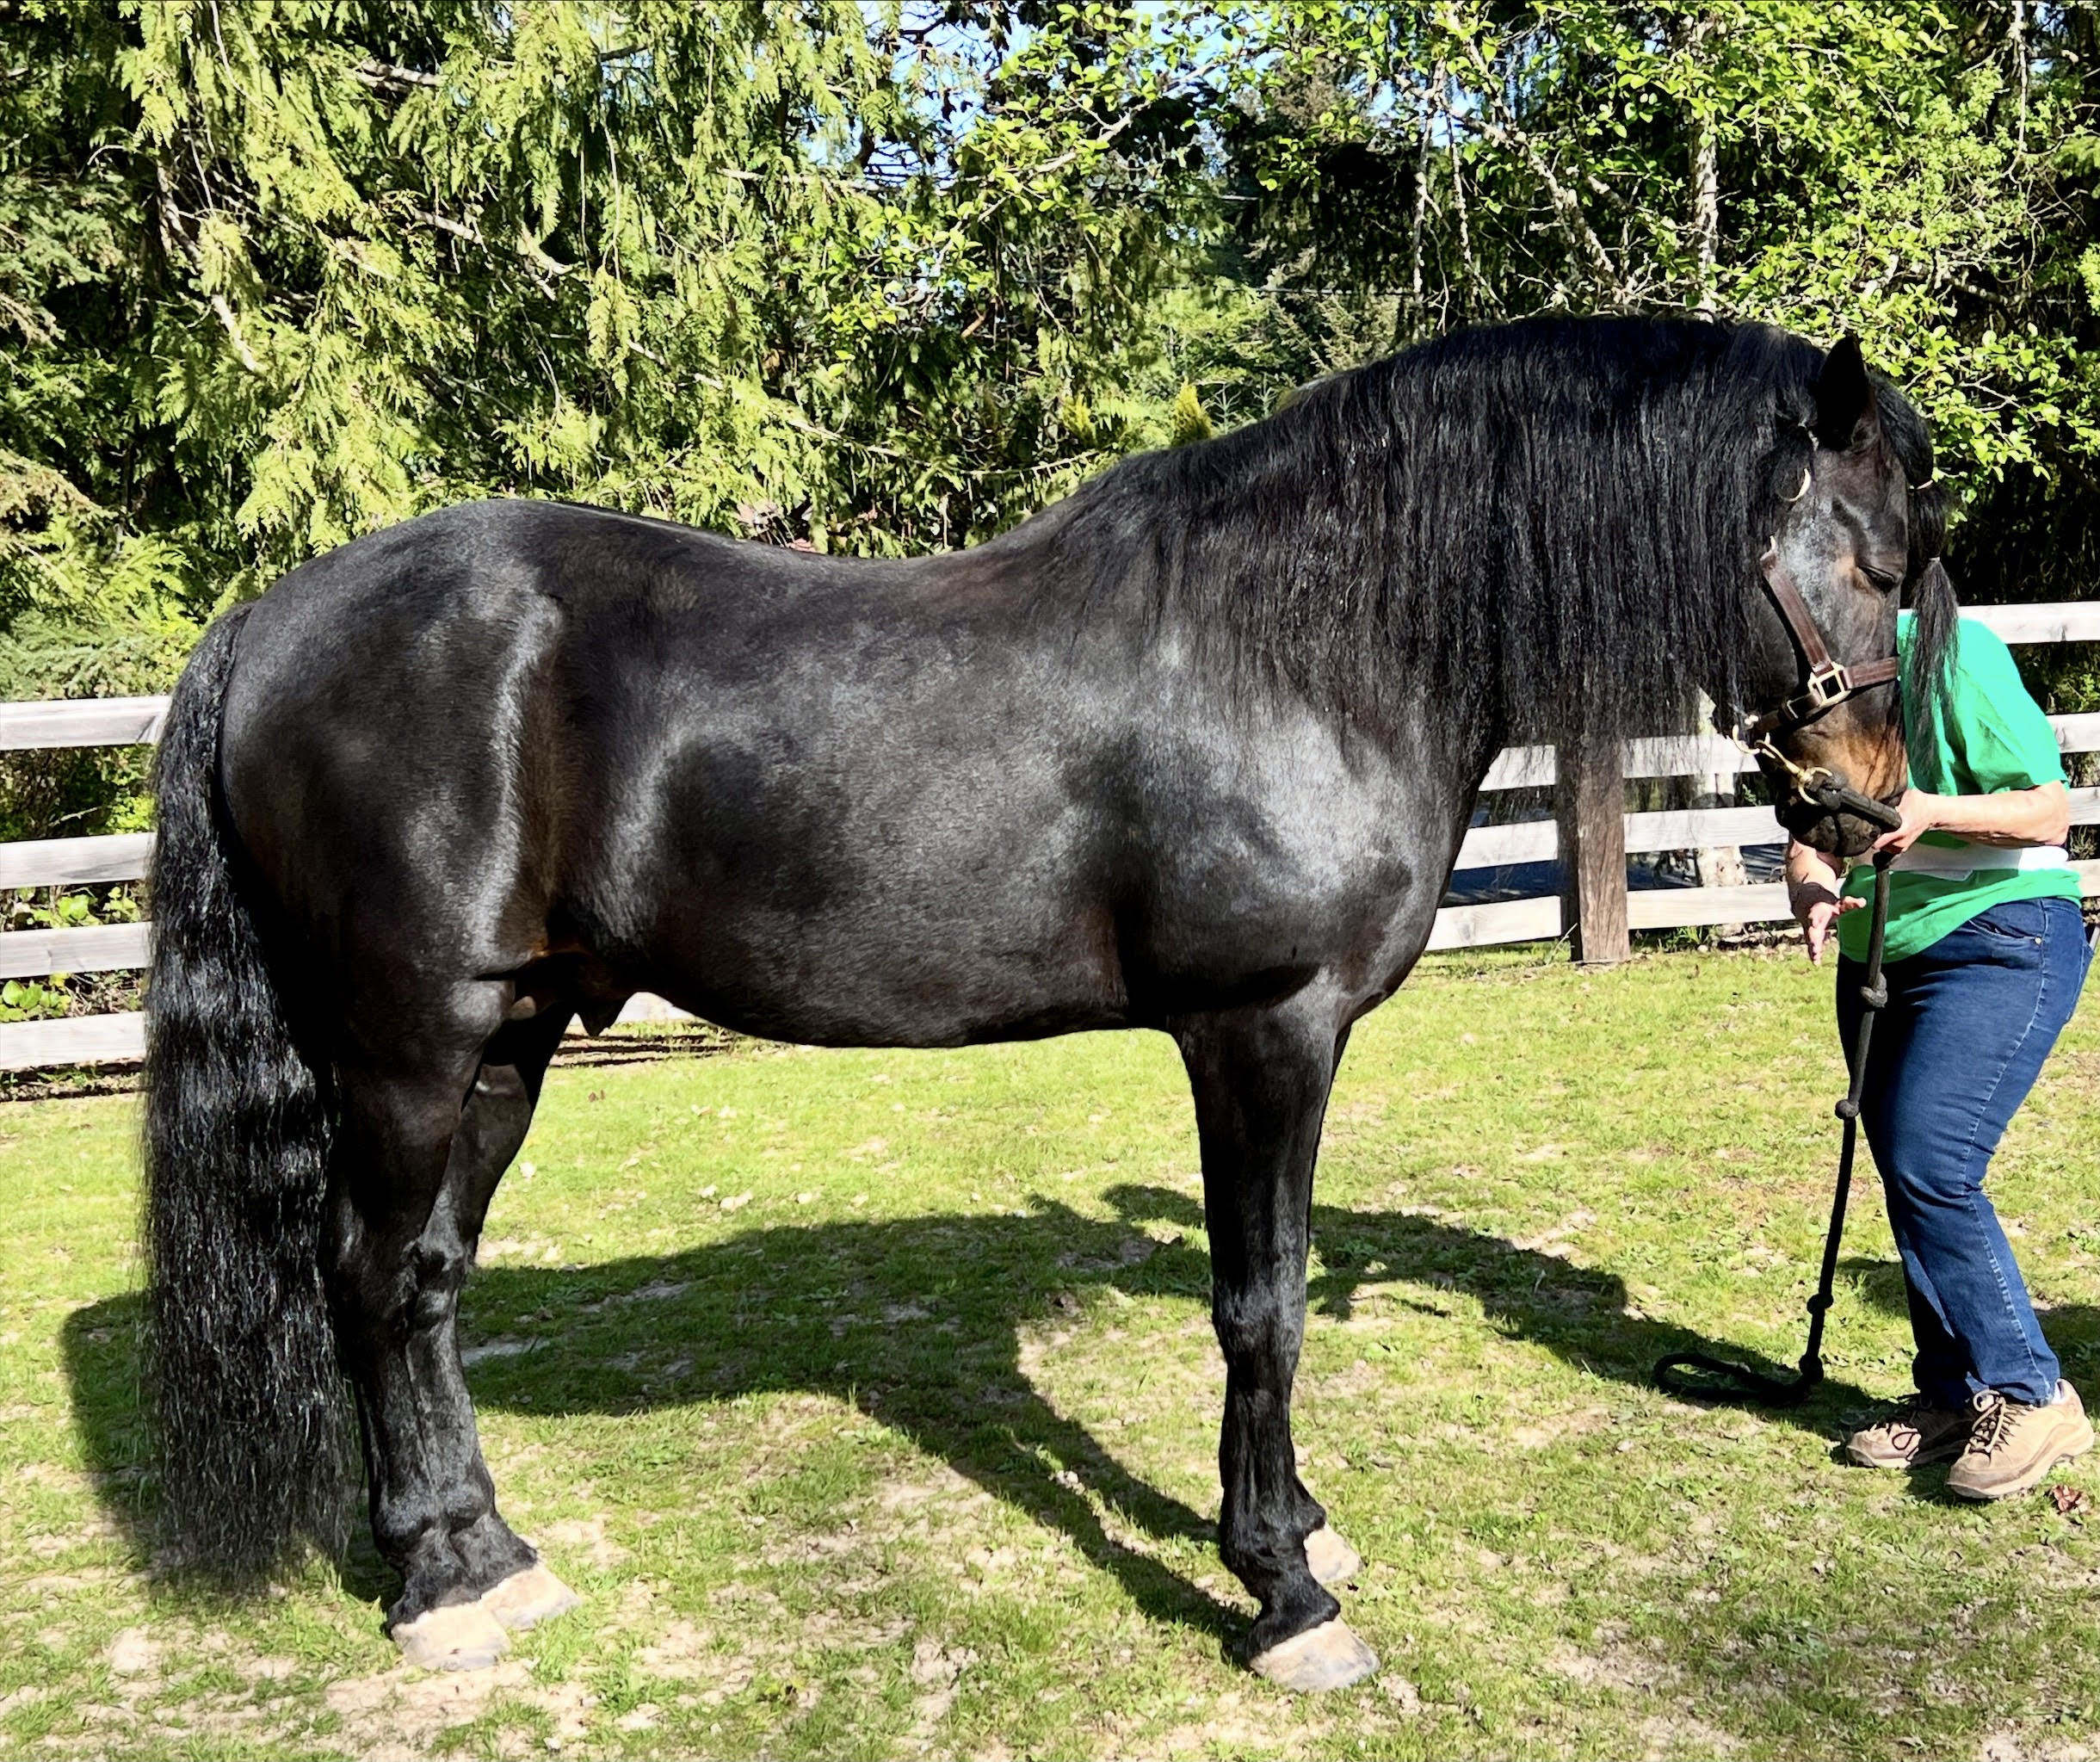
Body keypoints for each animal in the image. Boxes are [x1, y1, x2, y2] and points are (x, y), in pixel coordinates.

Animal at [142, 316, 1954, 1692]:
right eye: (1873, 558)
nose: (1877, 810)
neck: (1305, 643)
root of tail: (267, 622)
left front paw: (1299, 1528)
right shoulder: (1261, 1029)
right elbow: (1261, 1303)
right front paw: (1282, 1591)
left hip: (507, 1038)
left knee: (425, 1284)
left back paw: (485, 1552)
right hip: (409, 1042)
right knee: (366, 1273)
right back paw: (437, 1591)